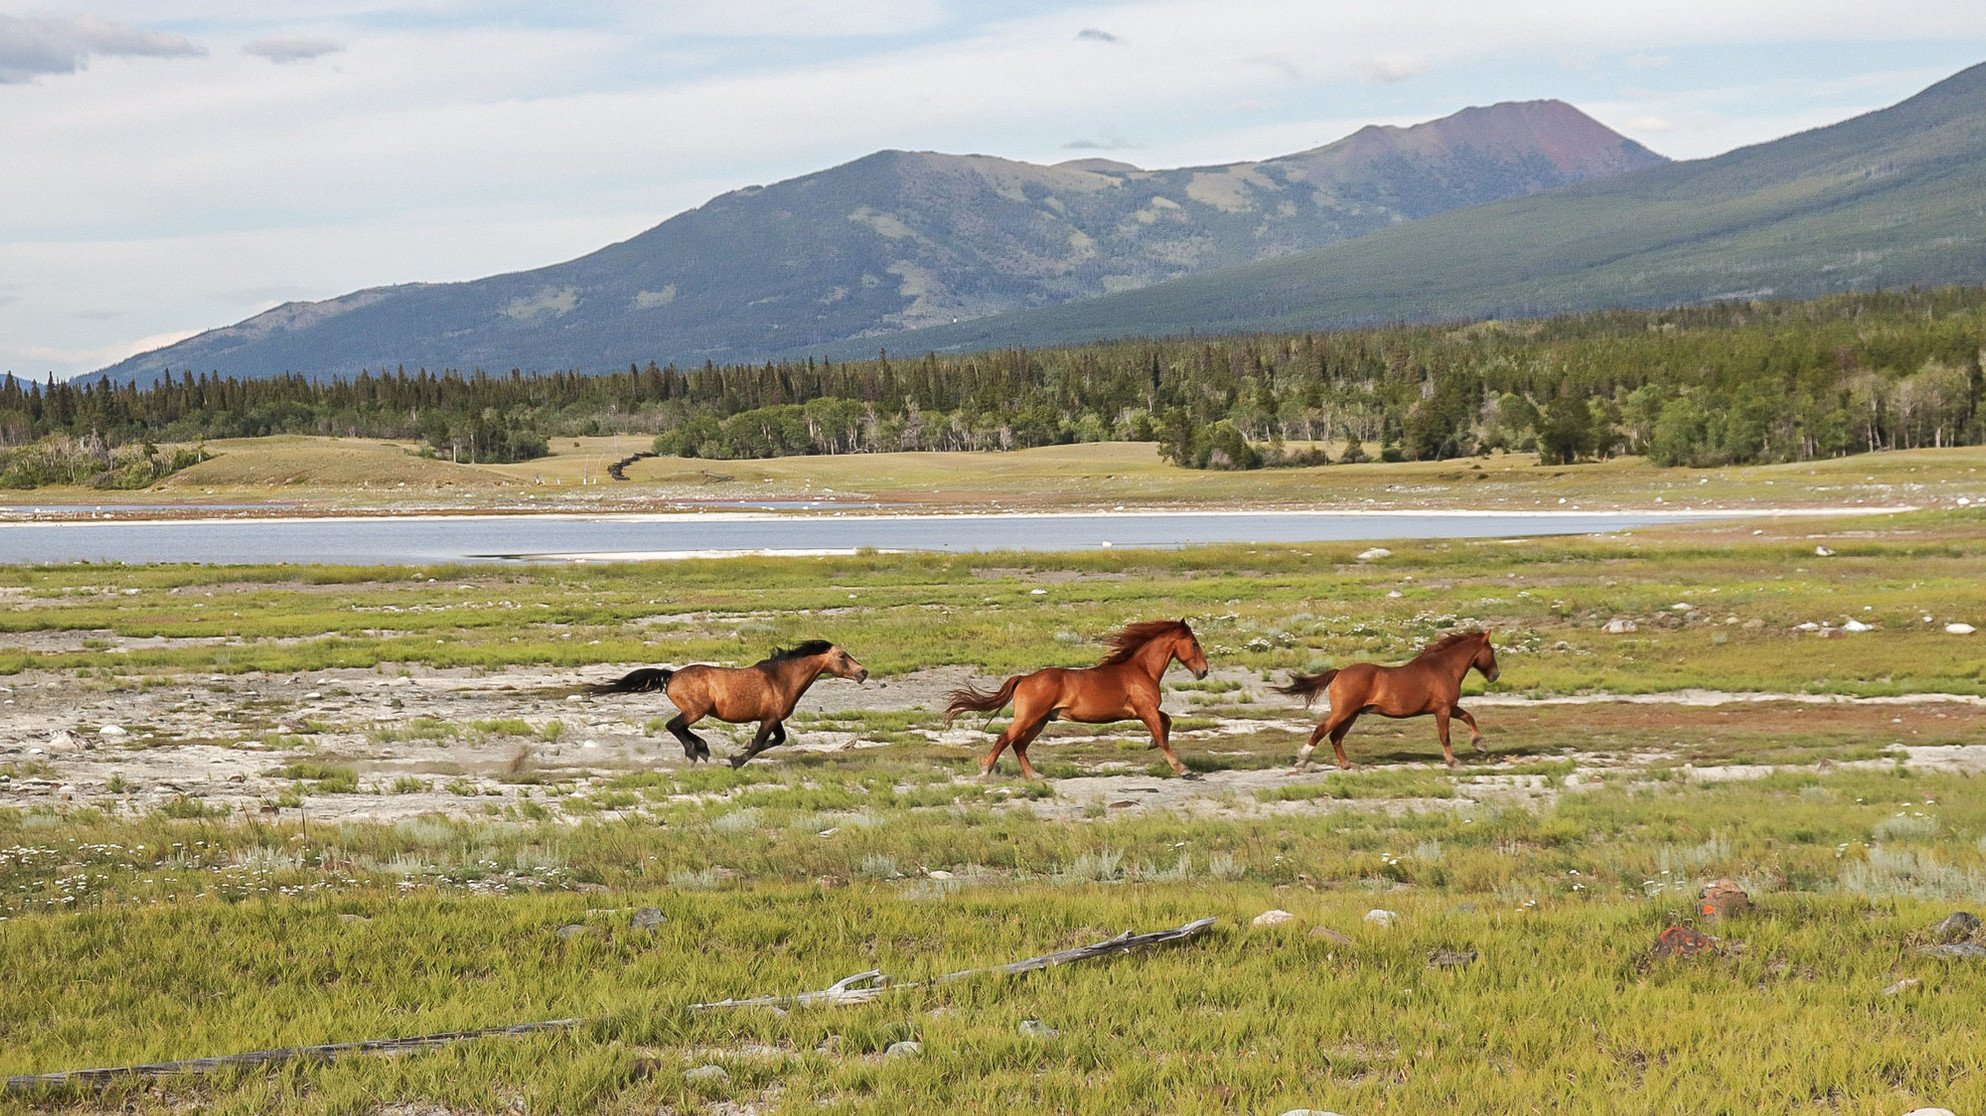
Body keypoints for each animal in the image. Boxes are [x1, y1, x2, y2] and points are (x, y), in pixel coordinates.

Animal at [587, 639, 869, 770]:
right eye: (842, 656)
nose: (863, 672)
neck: (780, 679)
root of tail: (672, 675)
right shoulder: (768, 720)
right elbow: (758, 743)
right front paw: (735, 761)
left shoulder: (774, 719)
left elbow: (776, 741)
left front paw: (735, 754)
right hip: (695, 710)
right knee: (674, 725)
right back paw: (694, 752)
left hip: (695, 711)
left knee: (679, 727)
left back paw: (702, 749)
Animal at [945, 615, 1207, 782]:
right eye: (1194, 643)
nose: (1204, 672)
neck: (1141, 670)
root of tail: (1024, 678)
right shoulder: (1146, 710)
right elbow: (1163, 735)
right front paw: (1183, 770)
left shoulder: (1146, 711)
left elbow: (1167, 721)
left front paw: (1152, 743)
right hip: (1028, 718)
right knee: (1006, 738)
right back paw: (986, 769)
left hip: (1040, 721)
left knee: (1019, 744)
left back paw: (1033, 775)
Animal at [1278, 631, 1493, 770]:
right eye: (1492, 652)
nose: (1495, 675)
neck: (1444, 667)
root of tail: (1339, 673)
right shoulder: (1443, 710)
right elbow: (1445, 735)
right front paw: (1453, 761)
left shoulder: (1450, 707)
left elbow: (1469, 717)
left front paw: (1480, 745)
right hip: (1343, 712)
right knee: (1321, 730)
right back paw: (1302, 760)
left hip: (1351, 715)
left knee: (1335, 737)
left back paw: (1347, 765)